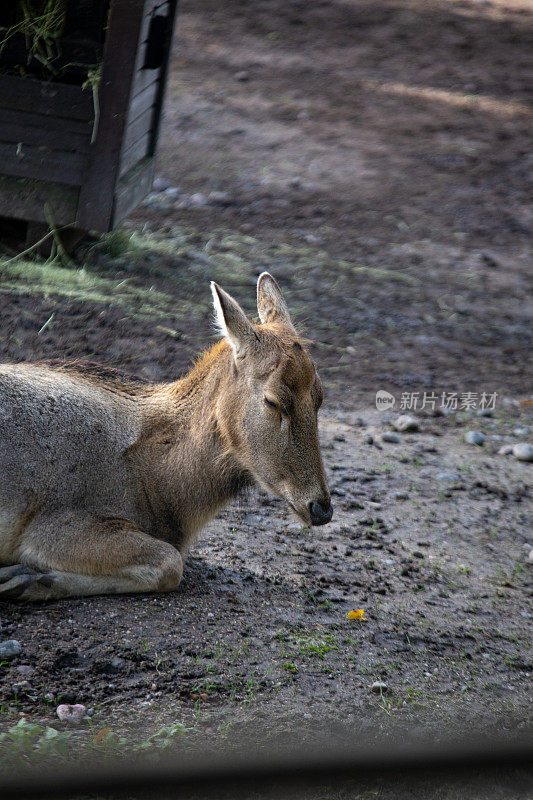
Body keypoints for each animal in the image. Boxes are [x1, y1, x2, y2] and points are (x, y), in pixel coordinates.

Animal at [0, 274, 330, 600]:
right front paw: (24, 579)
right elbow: (170, 563)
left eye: (320, 396)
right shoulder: (53, 523)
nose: (321, 508)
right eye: (273, 401)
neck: (163, 492)